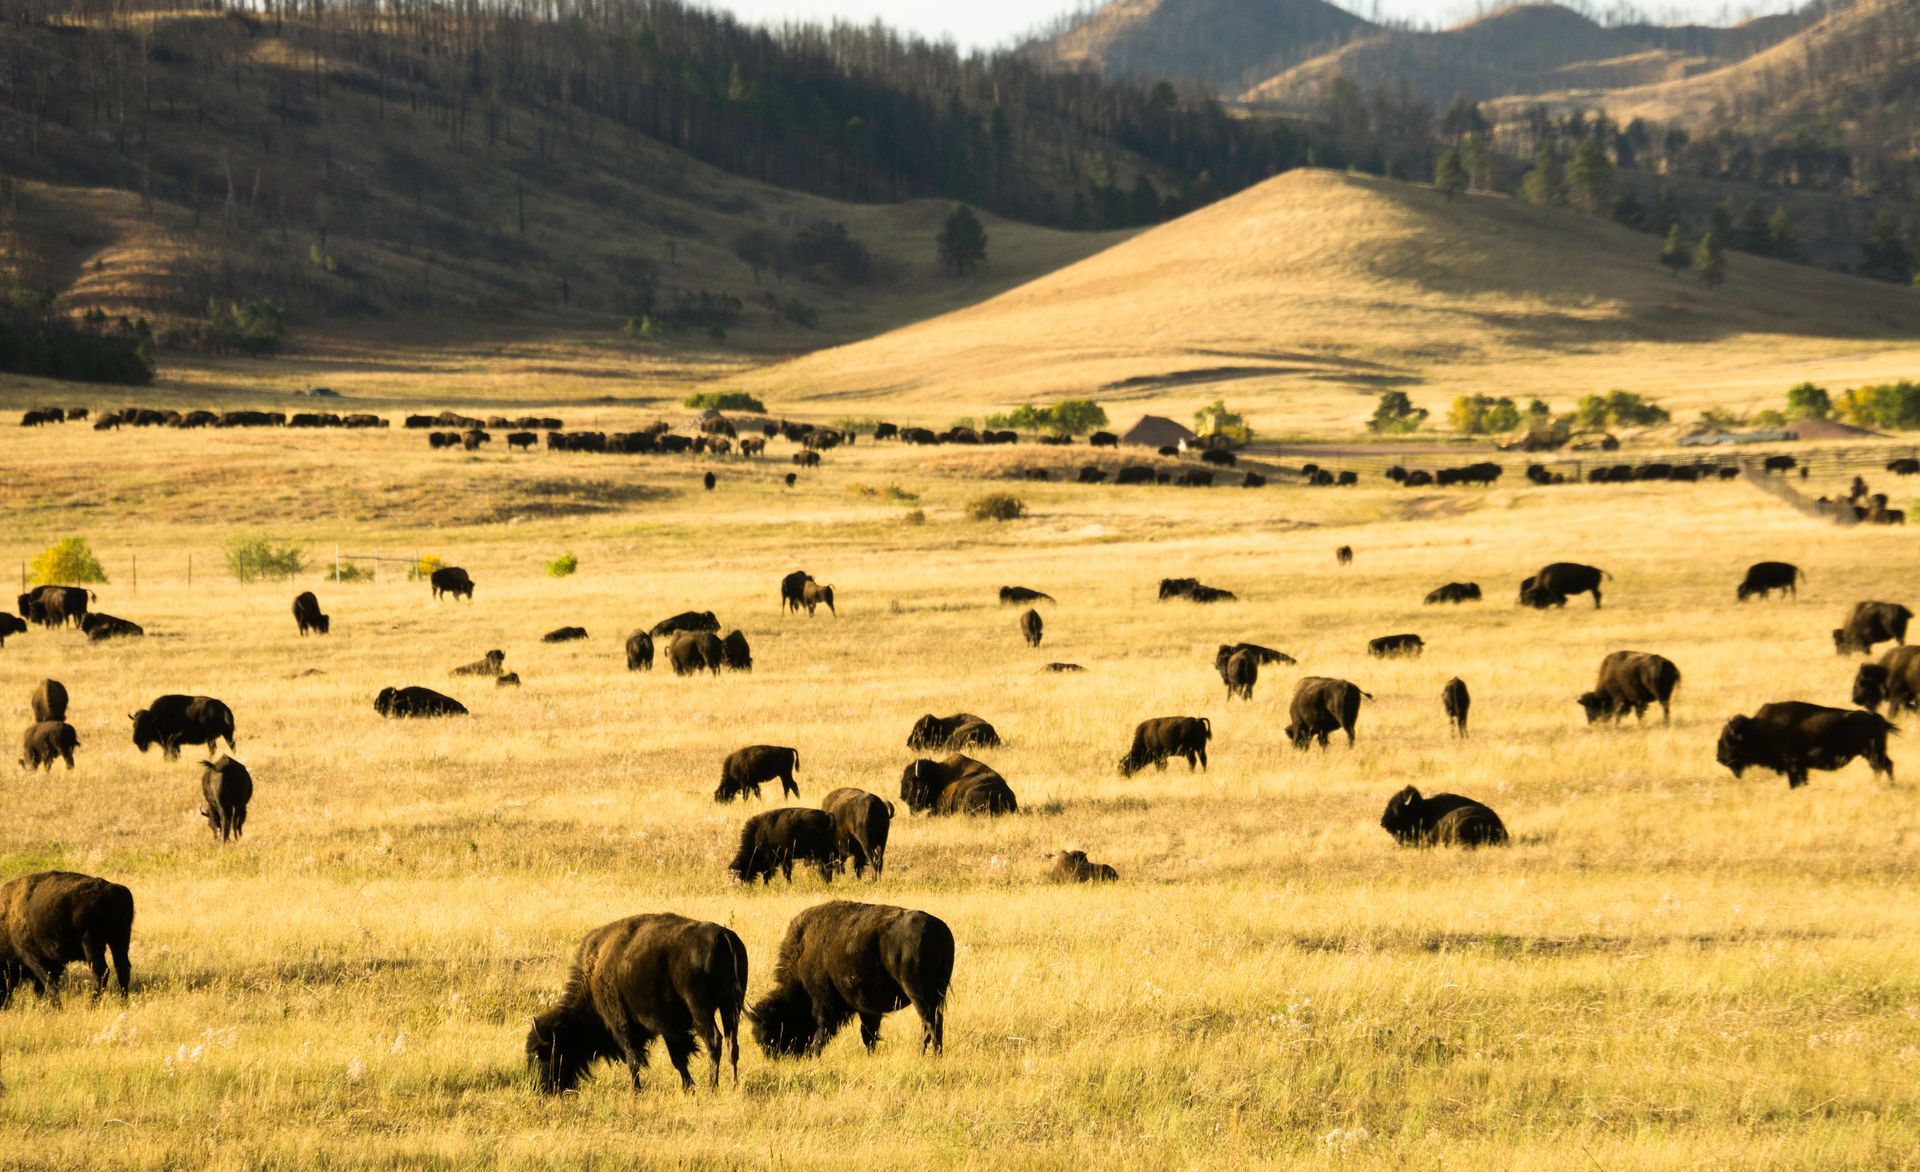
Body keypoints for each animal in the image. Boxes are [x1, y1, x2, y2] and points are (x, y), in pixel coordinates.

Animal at [0, 871, 134, 1005]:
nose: (5, 1004)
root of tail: (111, 890)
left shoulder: (32, 955)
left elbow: (48, 981)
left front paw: (57, 1005)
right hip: (120, 939)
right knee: (122, 968)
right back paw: (124, 1003)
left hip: (92, 943)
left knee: (101, 972)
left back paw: (91, 1005)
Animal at [526, 914, 747, 1092]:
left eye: (540, 1054)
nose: (540, 1088)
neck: (594, 971)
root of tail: (723, 935)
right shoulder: (670, 1029)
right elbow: (678, 1059)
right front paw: (688, 1087)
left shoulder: (623, 1024)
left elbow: (633, 1059)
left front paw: (636, 1091)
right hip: (730, 1007)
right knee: (732, 1044)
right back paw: (734, 1085)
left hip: (701, 1009)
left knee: (714, 1041)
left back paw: (713, 1087)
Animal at [749, 902, 951, 1057]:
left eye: (772, 1032)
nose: (776, 1056)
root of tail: (937, 928)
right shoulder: (867, 1008)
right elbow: (868, 1034)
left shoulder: (823, 1001)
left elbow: (824, 1029)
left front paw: (815, 1052)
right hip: (935, 994)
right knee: (931, 1023)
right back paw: (926, 1054)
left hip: (917, 993)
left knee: (930, 1023)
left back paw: (930, 1055)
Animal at [1717, 702, 1896, 788]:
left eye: (1729, 741)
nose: (1719, 758)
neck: (1759, 728)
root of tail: (1879, 718)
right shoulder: (1800, 767)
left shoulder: (1793, 765)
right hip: (1876, 753)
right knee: (1887, 765)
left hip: (1872, 754)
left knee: (1880, 767)